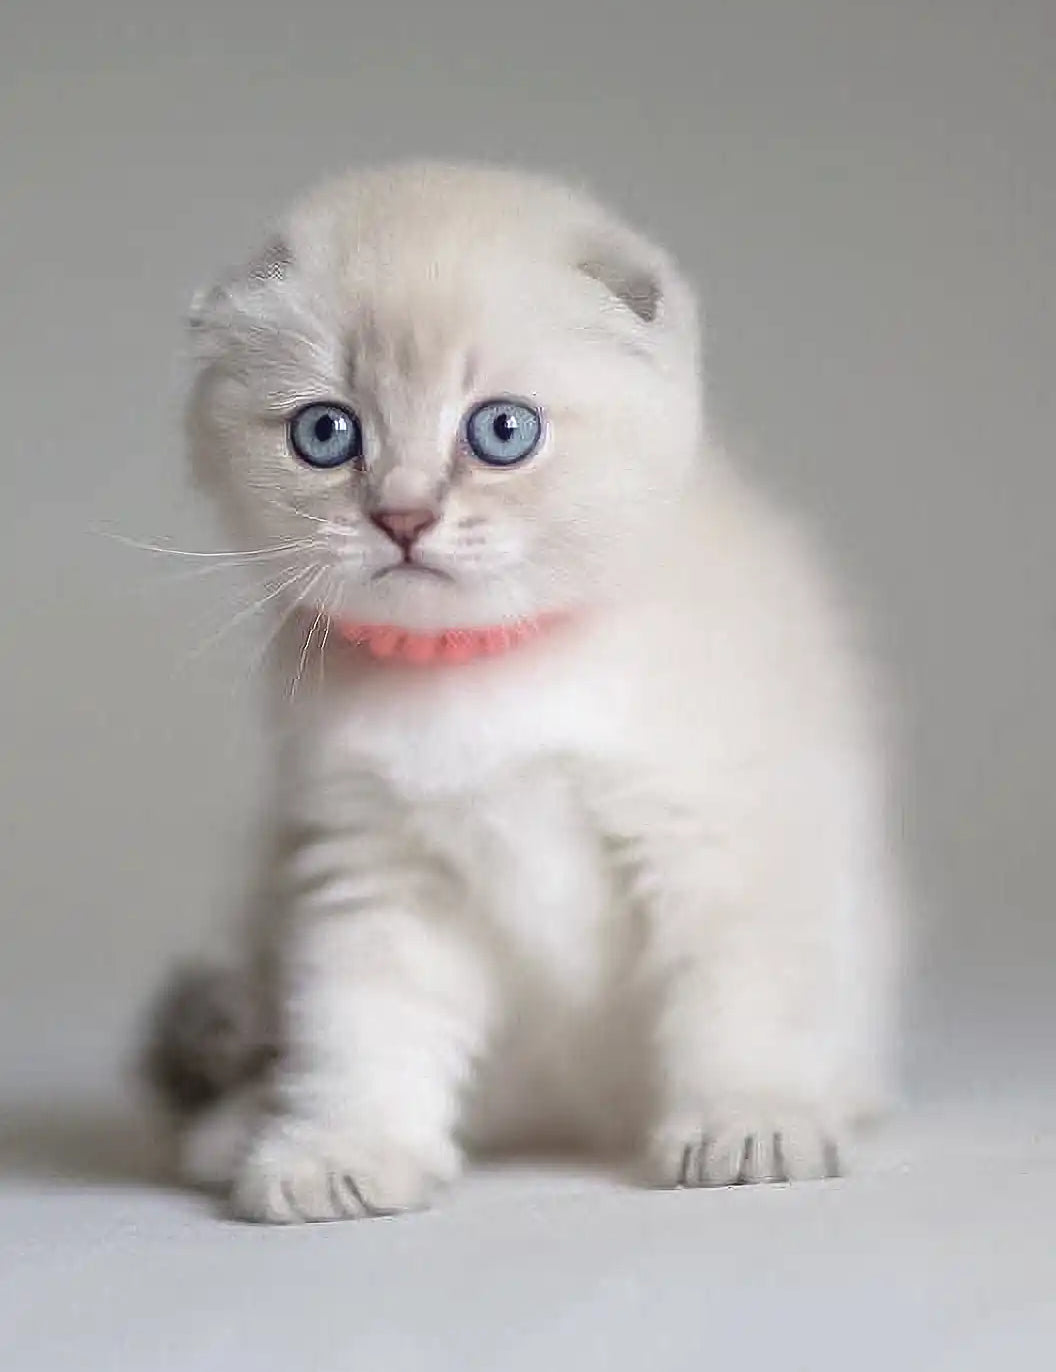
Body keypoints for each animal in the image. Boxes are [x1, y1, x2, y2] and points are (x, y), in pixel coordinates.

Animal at [139, 160, 899, 1223]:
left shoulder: (713, 832)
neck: (481, 677)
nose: (402, 517)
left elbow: (737, 995)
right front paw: (342, 1151)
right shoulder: (376, 866)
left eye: (502, 432)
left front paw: (747, 1124)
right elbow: (361, 1026)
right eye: (326, 433)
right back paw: (241, 1126)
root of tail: (565, 1119)